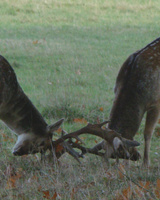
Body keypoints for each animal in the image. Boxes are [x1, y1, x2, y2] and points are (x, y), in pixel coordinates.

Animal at [87, 37, 160, 167]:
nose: (136, 157)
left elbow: (147, 133)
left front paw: (146, 164)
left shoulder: (155, 102)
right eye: (117, 155)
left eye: (120, 151)